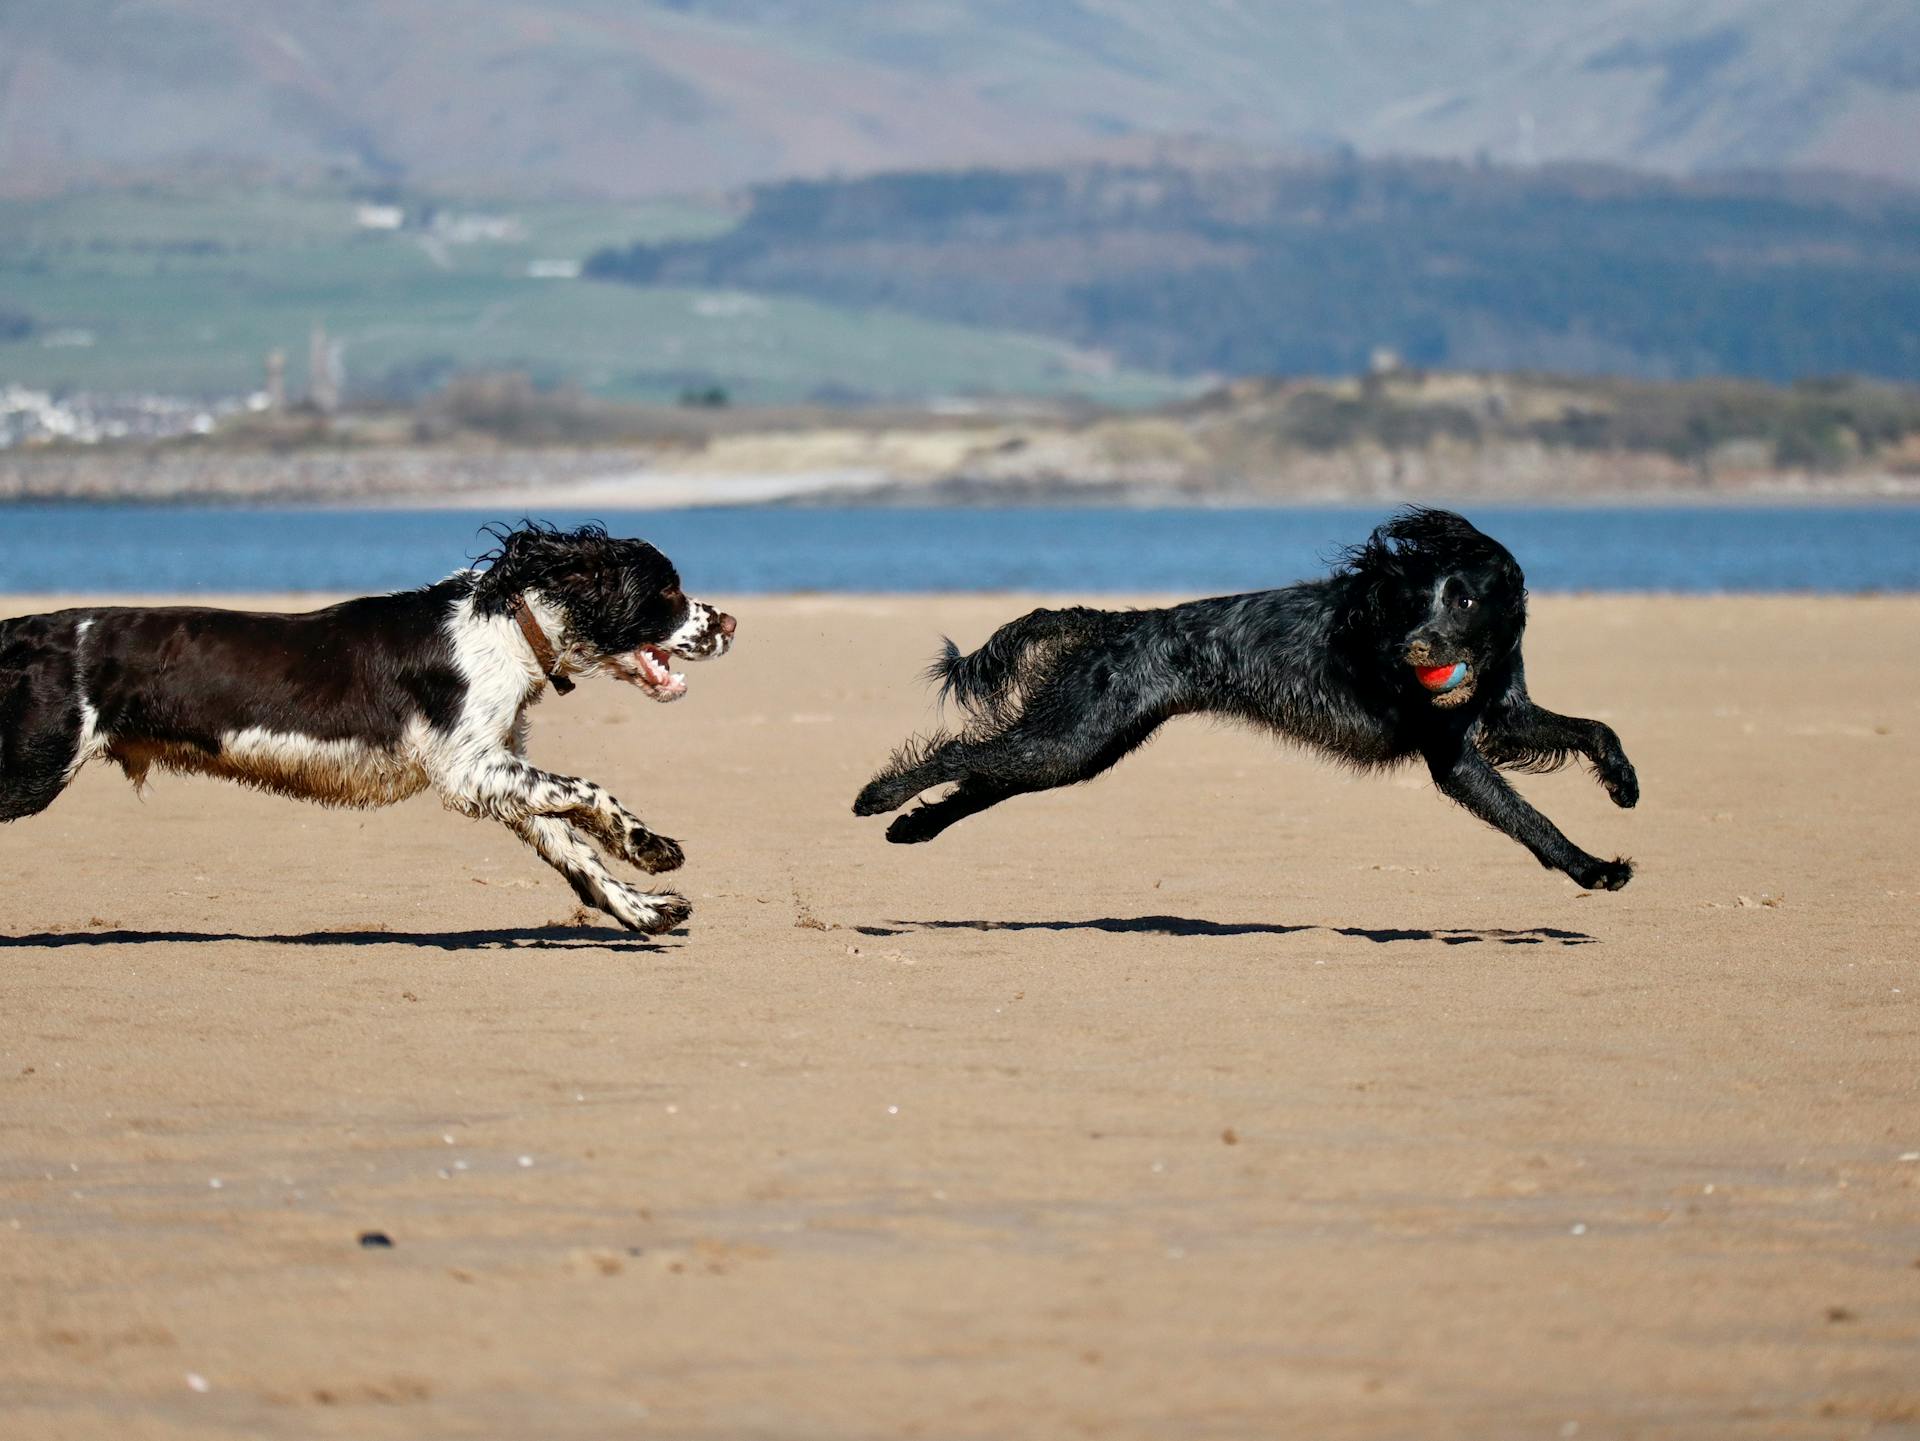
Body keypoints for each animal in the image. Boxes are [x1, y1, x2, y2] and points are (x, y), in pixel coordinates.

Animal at [864, 506, 1643, 890]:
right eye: (1417, 600)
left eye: (1466, 599)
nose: (1415, 649)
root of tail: (1115, 621)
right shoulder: (1453, 755)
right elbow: (1530, 819)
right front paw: (1594, 869)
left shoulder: (1505, 717)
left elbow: (1594, 727)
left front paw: (1623, 783)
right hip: (1072, 737)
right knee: (961, 753)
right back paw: (878, 796)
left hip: (1082, 745)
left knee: (981, 776)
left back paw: (912, 828)